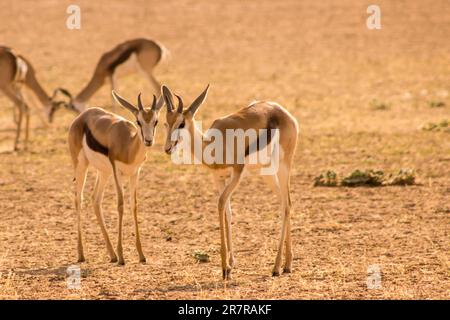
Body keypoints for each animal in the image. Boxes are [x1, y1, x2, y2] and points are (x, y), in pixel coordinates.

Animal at [67, 90, 163, 264]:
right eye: (138, 122)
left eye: (155, 121)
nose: (148, 140)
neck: (128, 146)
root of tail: (83, 115)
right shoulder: (117, 172)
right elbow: (120, 205)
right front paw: (122, 256)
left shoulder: (135, 173)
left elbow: (134, 205)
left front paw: (141, 255)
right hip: (81, 166)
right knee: (79, 199)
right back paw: (82, 254)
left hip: (103, 172)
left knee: (95, 199)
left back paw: (112, 255)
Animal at [161, 84, 298, 278]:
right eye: (166, 122)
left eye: (181, 123)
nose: (167, 148)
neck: (214, 145)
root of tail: (283, 112)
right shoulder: (218, 178)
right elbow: (227, 211)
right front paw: (231, 264)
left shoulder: (237, 173)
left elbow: (220, 203)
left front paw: (225, 267)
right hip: (267, 173)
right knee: (284, 203)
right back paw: (287, 264)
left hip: (283, 167)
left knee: (287, 205)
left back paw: (277, 267)